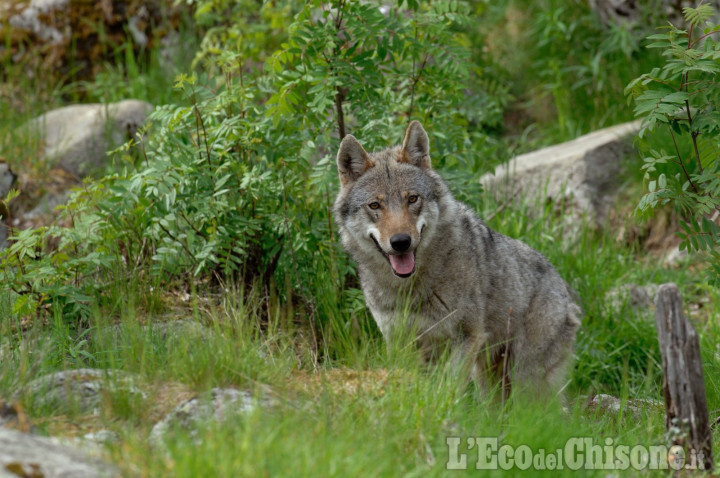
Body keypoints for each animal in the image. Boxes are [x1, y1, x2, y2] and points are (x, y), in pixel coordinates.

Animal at [334, 122, 584, 396]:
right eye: (375, 205)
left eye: (412, 199)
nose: (401, 242)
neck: (411, 289)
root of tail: (566, 289)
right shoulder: (401, 344)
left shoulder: (467, 337)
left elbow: (448, 391)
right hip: (489, 380)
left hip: (525, 381)